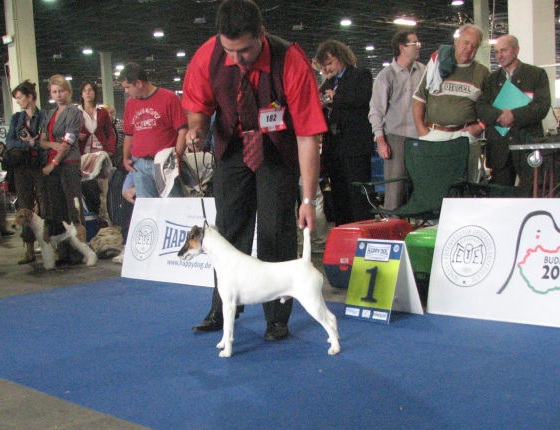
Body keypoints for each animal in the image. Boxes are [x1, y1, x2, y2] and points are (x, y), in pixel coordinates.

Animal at [178, 223, 340, 358]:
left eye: (189, 238)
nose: (179, 255)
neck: (225, 260)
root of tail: (305, 262)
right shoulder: (226, 305)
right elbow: (225, 328)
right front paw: (222, 344)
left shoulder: (229, 305)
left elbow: (228, 330)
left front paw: (227, 352)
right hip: (317, 300)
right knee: (332, 318)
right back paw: (333, 340)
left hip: (311, 303)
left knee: (327, 323)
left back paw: (335, 348)